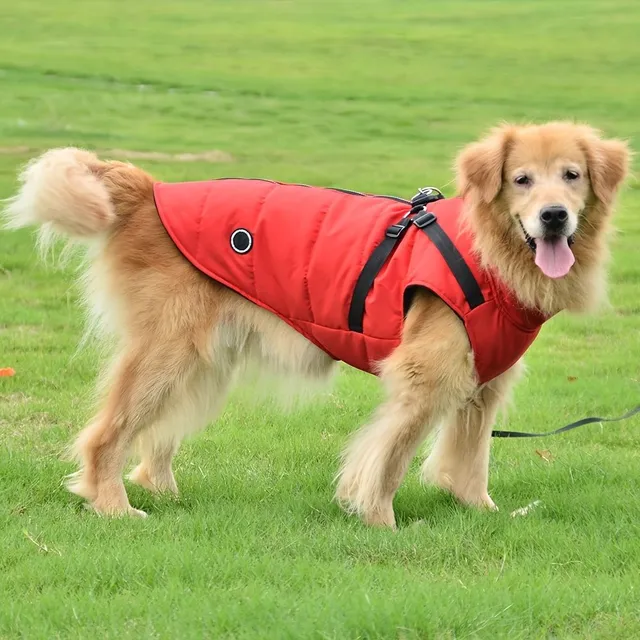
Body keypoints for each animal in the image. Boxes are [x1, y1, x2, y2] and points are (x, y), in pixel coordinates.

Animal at [2, 122, 628, 528]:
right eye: (521, 180)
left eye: (571, 176)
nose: (554, 216)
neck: (490, 251)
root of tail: (151, 190)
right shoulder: (425, 377)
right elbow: (388, 455)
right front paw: (379, 521)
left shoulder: (482, 382)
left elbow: (469, 459)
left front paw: (482, 513)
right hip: (168, 354)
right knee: (105, 436)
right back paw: (113, 506)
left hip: (204, 362)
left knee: (155, 439)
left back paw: (163, 491)